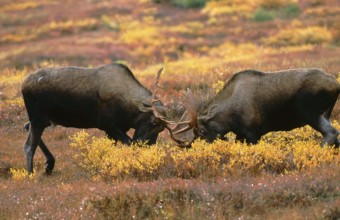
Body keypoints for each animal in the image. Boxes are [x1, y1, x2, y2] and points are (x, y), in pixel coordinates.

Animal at [21, 62, 185, 174]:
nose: (145, 144)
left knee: (26, 127)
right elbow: (128, 142)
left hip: (43, 119)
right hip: (38, 118)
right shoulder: (107, 124)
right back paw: (31, 173)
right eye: (151, 122)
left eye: (161, 130)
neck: (129, 109)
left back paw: (49, 164)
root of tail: (23, 85)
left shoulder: (115, 129)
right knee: (29, 145)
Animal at [175, 68, 340, 148]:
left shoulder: (253, 133)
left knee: (331, 133)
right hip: (325, 113)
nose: (196, 148)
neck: (229, 118)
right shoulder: (241, 134)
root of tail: (335, 84)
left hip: (311, 113)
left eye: (202, 131)